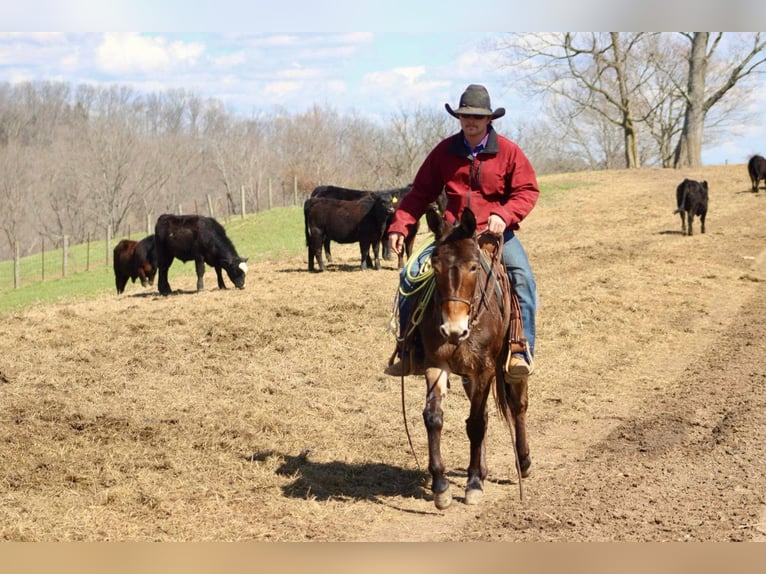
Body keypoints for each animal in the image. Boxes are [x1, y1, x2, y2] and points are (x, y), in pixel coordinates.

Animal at [413, 206, 531, 510]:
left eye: (473, 266)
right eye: (435, 264)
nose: (453, 329)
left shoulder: (485, 369)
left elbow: (476, 424)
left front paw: (474, 484)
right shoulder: (436, 364)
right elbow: (434, 417)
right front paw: (440, 486)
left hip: (509, 367)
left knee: (518, 405)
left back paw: (523, 461)